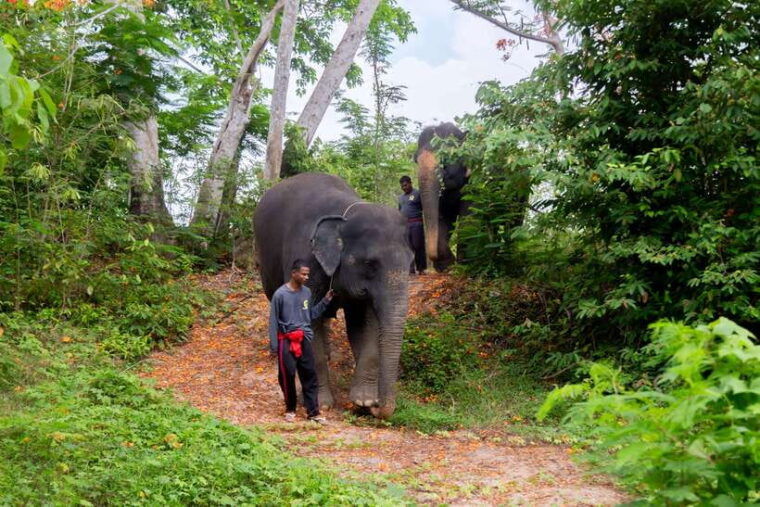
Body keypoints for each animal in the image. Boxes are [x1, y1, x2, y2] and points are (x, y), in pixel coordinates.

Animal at [253, 172, 413, 419]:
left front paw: (363, 400)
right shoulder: (305, 259)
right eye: (370, 263)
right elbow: (309, 325)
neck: (345, 214)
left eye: (411, 261)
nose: (378, 406)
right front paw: (323, 404)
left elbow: (365, 323)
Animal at [415, 122, 469, 272]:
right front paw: (447, 266)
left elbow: (468, 219)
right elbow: (443, 218)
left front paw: (464, 266)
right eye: (416, 160)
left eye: (446, 159)